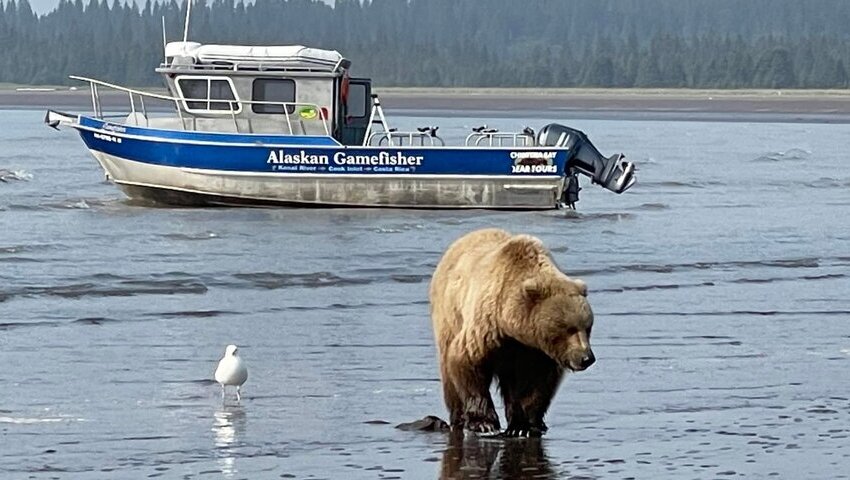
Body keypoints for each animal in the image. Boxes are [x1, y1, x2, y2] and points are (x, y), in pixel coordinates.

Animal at [428, 227, 592, 436]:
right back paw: (457, 418)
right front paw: (484, 423)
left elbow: (536, 381)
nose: (586, 358)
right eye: (568, 328)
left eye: (588, 327)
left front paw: (525, 425)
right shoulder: (487, 327)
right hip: (449, 315)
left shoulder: (534, 350)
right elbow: (467, 360)